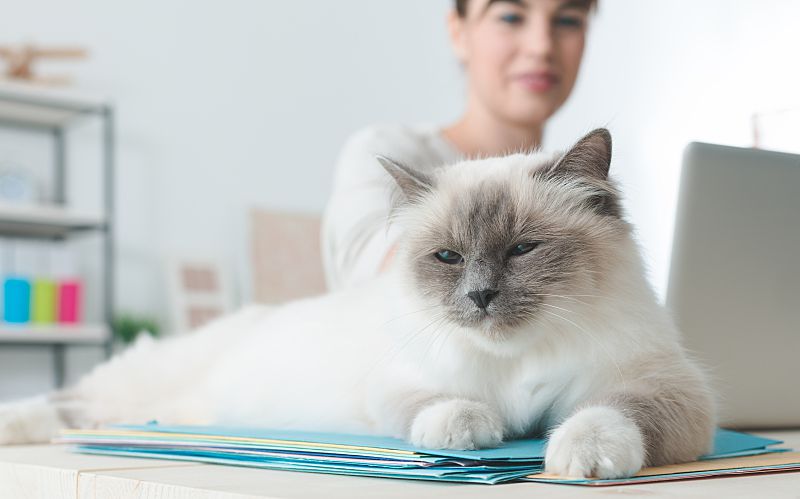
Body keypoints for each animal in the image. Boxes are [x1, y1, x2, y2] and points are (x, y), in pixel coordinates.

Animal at [0, 129, 712, 480]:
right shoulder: (398, 385)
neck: (513, 358)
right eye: (448, 258)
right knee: (71, 399)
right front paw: (475, 431)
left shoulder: (662, 388)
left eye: (522, 250)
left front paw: (577, 456)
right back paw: (19, 423)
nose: (480, 296)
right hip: (142, 388)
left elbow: (605, 415)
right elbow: (444, 407)